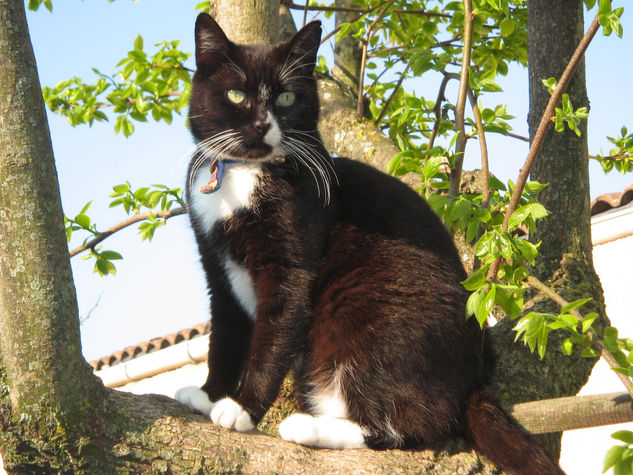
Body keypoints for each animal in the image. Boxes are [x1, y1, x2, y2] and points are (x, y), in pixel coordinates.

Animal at [175, 13, 560, 474]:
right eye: (235, 94)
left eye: (286, 97)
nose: (263, 126)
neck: (243, 173)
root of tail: (472, 379)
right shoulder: (217, 265)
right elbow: (225, 335)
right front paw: (209, 393)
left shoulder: (292, 259)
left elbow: (273, 335)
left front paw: (241, 409)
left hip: (363, 325)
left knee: (419, 423)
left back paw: (307, 426)